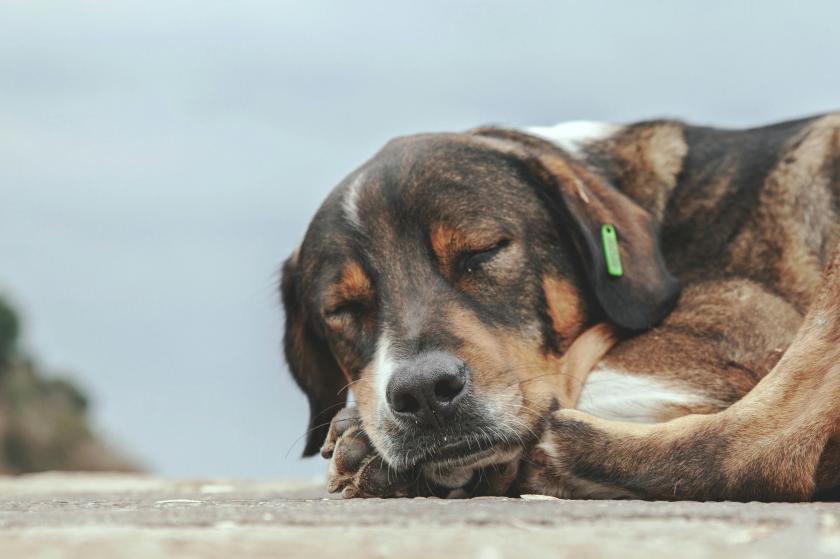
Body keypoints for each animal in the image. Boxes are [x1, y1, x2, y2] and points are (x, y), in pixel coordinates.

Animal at [282, 115, 840, 504]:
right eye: (343, 309)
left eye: (483, 252)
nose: (422, 392)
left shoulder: (749, 328)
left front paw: (364, 438)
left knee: (757, 451)